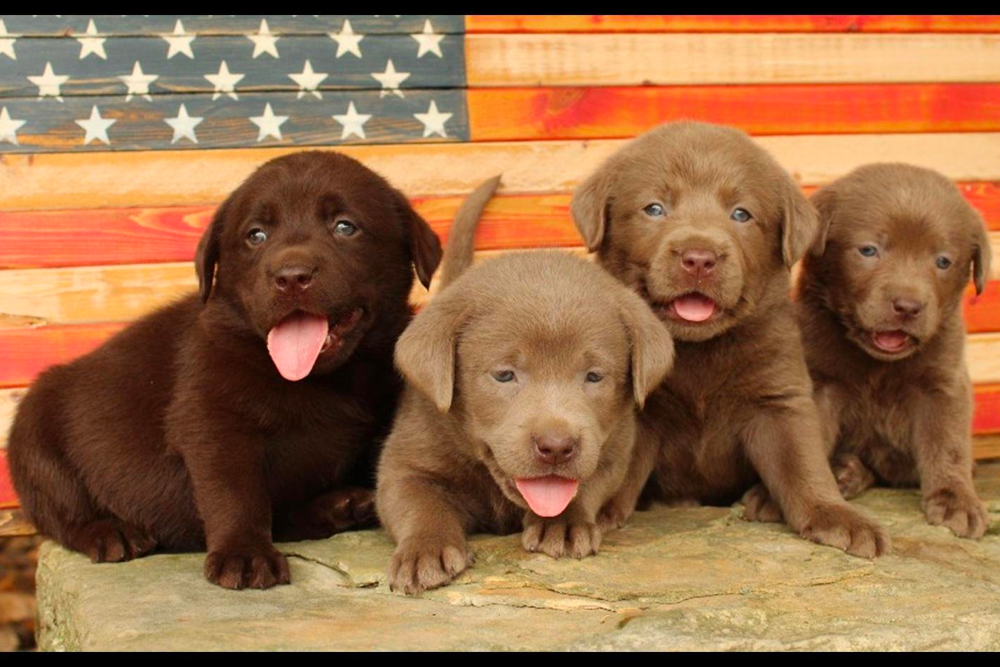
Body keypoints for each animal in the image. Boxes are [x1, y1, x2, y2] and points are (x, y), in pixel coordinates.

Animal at [5, 153, 440, 588]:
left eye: (345, 227)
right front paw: (243, 554)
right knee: (61, 513)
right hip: (35, 433)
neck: (322, 378)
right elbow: (236, 492)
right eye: (256, 236)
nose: (291, 277)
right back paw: (110, 532)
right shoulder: (213, 422)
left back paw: (339, 507)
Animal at [376, 176, 672, 596]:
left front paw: (564, 524)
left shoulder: (614, 448)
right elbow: (419, 502)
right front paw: (425, 550)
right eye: (504, 375)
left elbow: (588, 484)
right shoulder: (404, 462)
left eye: (594, 376)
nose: (557, 446)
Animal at [572, 121, 892, 560]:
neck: (698, 350)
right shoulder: (637, 408)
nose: (699, 257)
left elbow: (802, 463)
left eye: (741, 214)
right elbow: (622, 462)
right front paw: (595, 510)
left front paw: (835, 514)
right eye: (654, 208)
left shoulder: (779, 397)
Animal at [796, 164, 992, 540]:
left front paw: (956, 501)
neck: (879, 363)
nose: (907, 306)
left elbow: (948, 444)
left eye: (942, 261)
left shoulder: (943, 382)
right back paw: (844, 471)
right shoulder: (820, 377)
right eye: (869, 250)